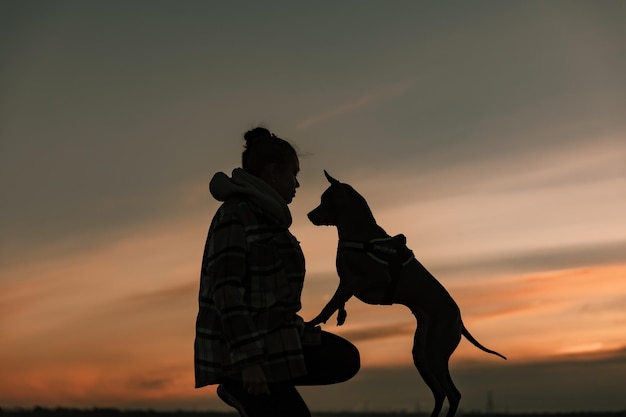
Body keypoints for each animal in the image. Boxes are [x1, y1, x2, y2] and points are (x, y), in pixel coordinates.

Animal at [304, 170, 504, 416]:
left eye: (325, 200)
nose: (309, 215)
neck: (359, 232)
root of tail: (459, 320)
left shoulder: (369, 279)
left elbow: (330, 303)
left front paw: (313, 322)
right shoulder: (346, 282)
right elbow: (338, 300)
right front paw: (338, 316)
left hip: (436, 352)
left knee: (453, 393)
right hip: (422, 354)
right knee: (440, 393)